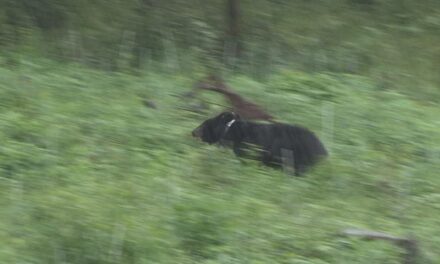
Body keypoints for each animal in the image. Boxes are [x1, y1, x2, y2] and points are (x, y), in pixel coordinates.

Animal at [191, 111, 328, 175]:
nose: (193, 132)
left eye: (204, 124)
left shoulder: (248, 148)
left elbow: (248, 160)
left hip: (300, 157)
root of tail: (323, 149)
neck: (231, 131)